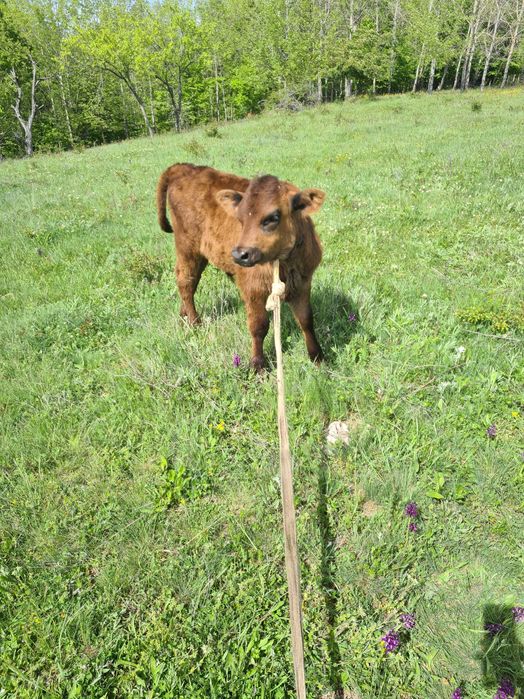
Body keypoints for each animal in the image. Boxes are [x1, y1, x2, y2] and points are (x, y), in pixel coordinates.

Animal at [156, 163, 325, 370]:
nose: (239, 255)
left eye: (273, 217)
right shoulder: (252, 288)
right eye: (240, 219)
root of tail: (183, 168)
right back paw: (195, 322)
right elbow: (258, 326)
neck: (284, 264)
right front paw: (258, 366)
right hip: (187, 247)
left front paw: (318, 357)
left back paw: (184, 316)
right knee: (185, 281)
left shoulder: (303, 282)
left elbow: (306, 319)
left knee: (190, 283)